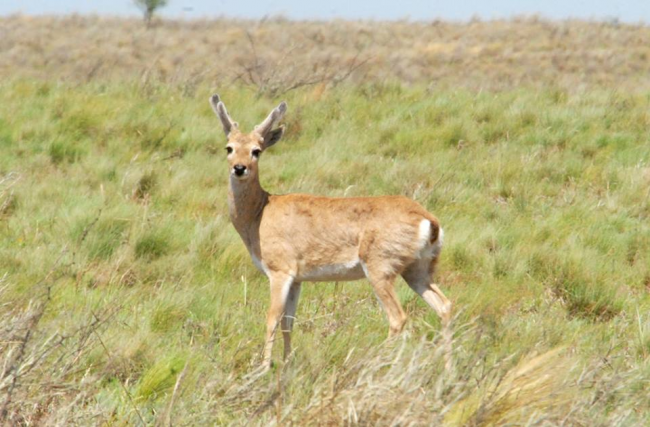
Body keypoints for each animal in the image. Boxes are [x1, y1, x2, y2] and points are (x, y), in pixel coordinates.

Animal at [209, 95, 450, 370]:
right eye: (229, 147)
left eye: (256, 150)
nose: (239, 168)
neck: (260, 213)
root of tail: (428, 220)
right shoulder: (297, 279)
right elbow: (288, 322)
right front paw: (287, 365)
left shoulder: (280, 272)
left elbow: (272, 320)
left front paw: (262, 369)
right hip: (417, 271)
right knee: (444, 306)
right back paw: (448, 368)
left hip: (380, 269)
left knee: (398, 318)